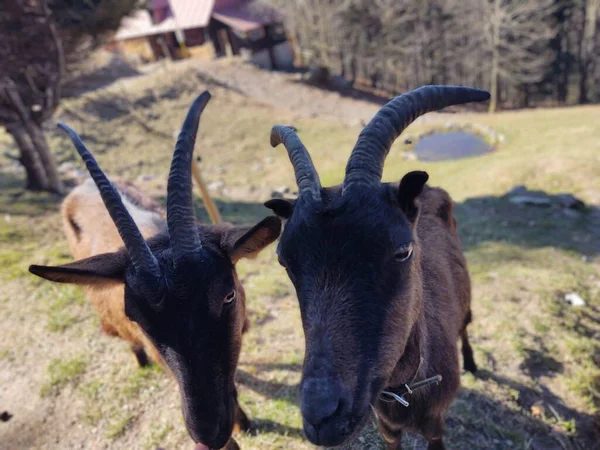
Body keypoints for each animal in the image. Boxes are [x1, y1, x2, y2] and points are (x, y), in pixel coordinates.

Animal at [264, 86, 490, 448]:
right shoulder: (387, 427)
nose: (322, 416)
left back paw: (471, 363)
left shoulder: (436, 422)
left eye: (403, 251)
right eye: (284, 260)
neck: (405, 387)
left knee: (466, 324)